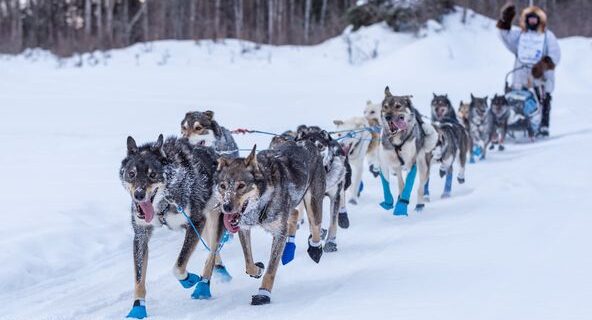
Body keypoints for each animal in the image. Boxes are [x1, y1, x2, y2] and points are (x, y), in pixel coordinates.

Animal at [119, 136, 224, 320]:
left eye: (152, 174)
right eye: (131, 174)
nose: (139, 195)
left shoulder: (196, 222)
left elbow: (178, 265)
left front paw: (189, 279)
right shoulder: (140, 236)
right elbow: (138, 278)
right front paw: (138, 307)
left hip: (213, 219)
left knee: (211, 252)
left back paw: (203, 286)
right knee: (213, 250)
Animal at [214, 144, 324, 306]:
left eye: (241, 186)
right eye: (223, 186)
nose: (226, 207)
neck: (263, 200)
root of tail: (306, 142)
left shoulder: (278, 233)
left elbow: (271, 271)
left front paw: (263, 294)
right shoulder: (244, 228)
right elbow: (248, 263)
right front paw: (258, 269)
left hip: (313, 201)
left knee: (315, 226)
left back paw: (315, 248)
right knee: (294, 213)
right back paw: (289, 248)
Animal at [376, 87, 438, 215]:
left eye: (398, 106)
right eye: (385, 107)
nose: (387, 117)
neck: (397, 142)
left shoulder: (411, 164)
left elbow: (408, 186)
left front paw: (401, 207)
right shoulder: (384, 164)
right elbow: (386, 185)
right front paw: (388, 203)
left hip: (423, 166)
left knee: (420, 188)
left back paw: (419, 205)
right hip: (397, 167)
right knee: (401, 182)